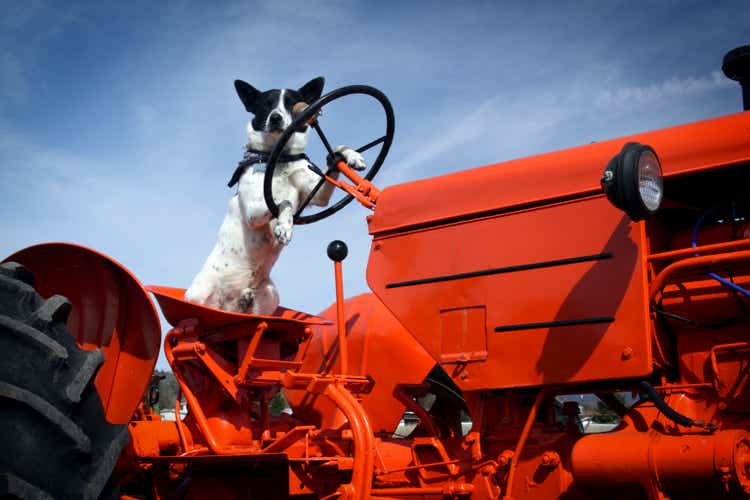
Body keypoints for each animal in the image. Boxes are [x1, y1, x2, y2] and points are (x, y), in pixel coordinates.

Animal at [187, 77, 366, 312]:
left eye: (292, 103)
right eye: (266, 105)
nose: (276, 118)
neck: (280, 158)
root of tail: (227, 307)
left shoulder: (318, 195)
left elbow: (335, 152)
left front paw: (352, 156)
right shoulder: (253, 211)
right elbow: (285, 201)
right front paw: (284, 227)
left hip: (270, 294)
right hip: (197, 294)